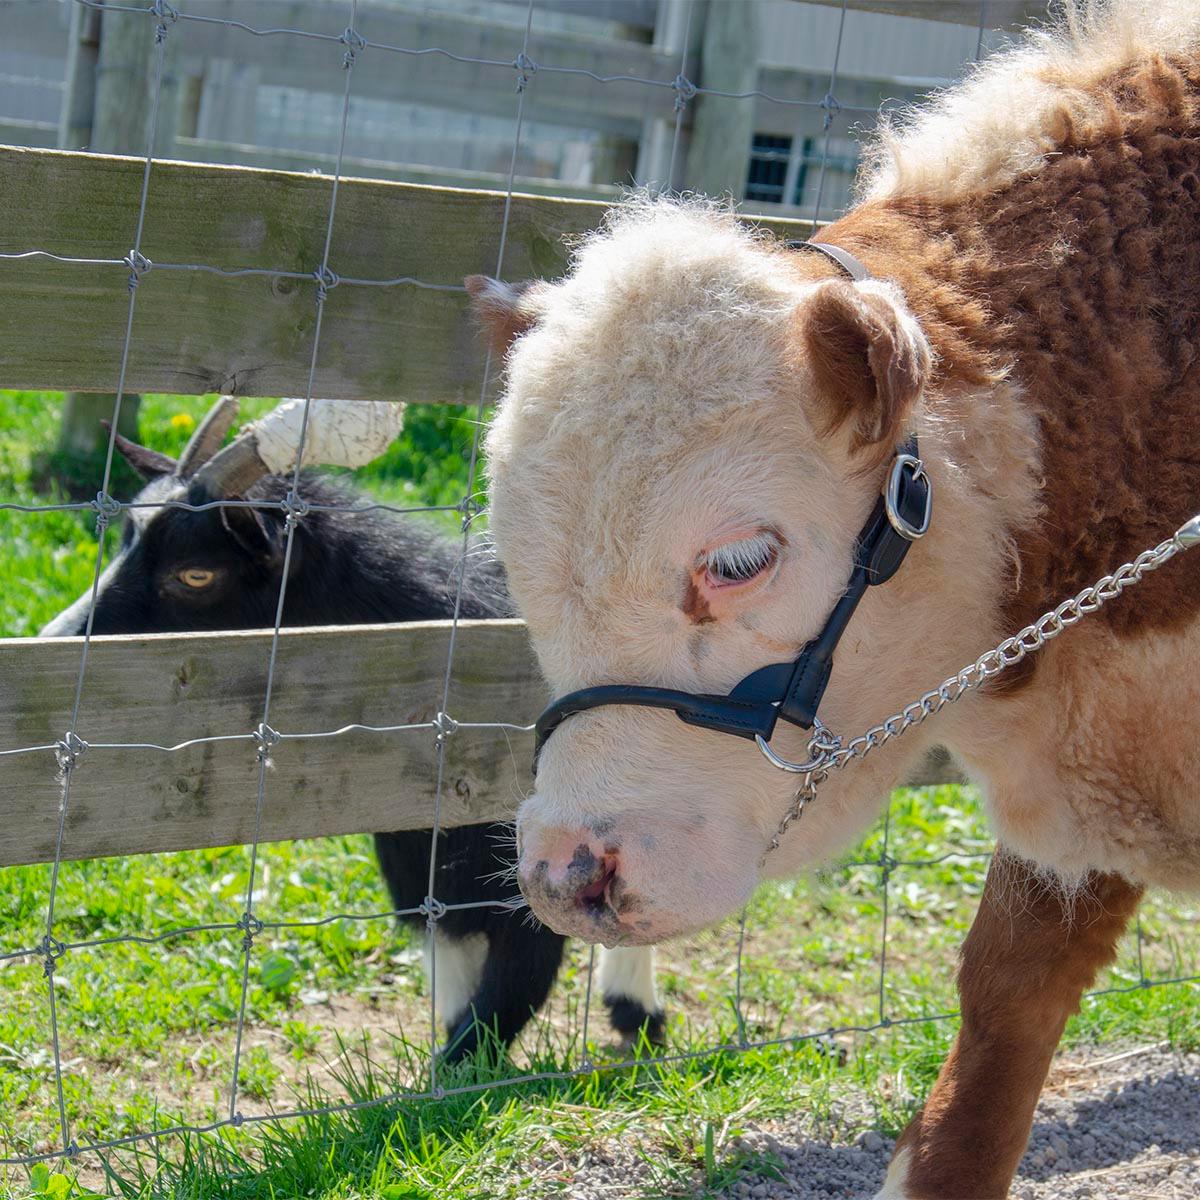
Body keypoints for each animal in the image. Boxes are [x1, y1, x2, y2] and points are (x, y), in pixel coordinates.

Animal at [42, 400, 662, 1060]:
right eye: (124, 541)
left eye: (196, 575)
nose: (55, 641)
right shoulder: (423, 856)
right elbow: (453, 958)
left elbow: (512, 986)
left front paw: (451, 1072)